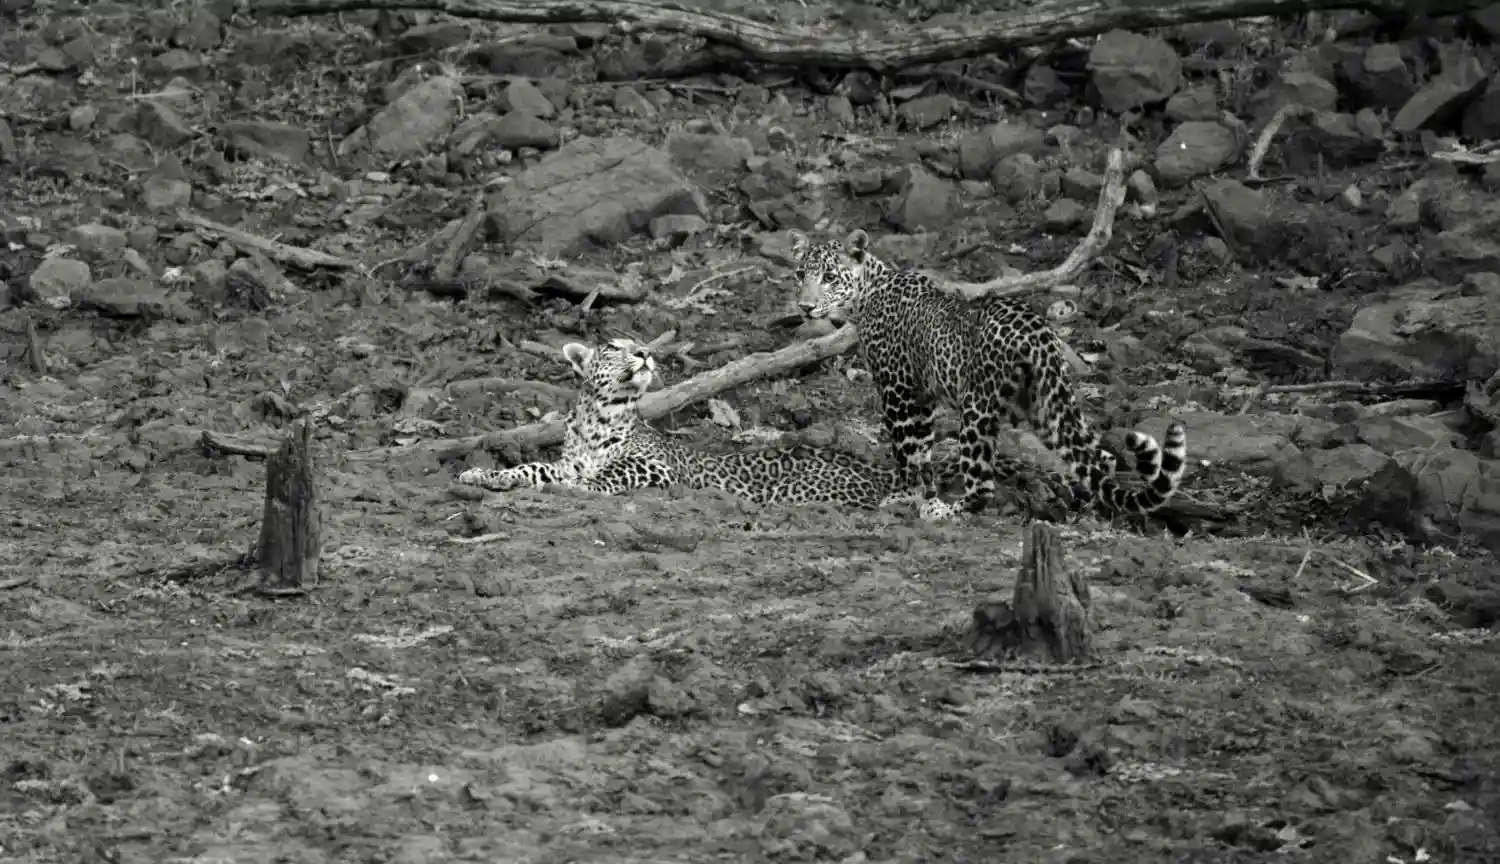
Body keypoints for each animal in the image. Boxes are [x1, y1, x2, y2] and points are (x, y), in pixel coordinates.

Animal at [456, 337, 1075, 511]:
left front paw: (577, 490)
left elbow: (603, 477)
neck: (597, 417)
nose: (646, 354)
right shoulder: (566, 457)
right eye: (615, 346)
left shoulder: (655, 469)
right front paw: (479, 476)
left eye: (637, 342)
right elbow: (535, 469)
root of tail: (883, 472)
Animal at [788, 228, 1188, 522]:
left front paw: (904, 497)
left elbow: (906, 451)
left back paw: (946, 512)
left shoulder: (899, 392)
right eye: (800, 275)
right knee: (1097, 458)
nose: (805, 306)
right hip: (1048, 407)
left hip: (977, 409)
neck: (866, 294)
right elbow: (922, 450)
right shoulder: (923, 397)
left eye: (829, 277)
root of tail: (1038, 332)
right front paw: (919, 493)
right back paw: (1092, 507)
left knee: (982, 486)